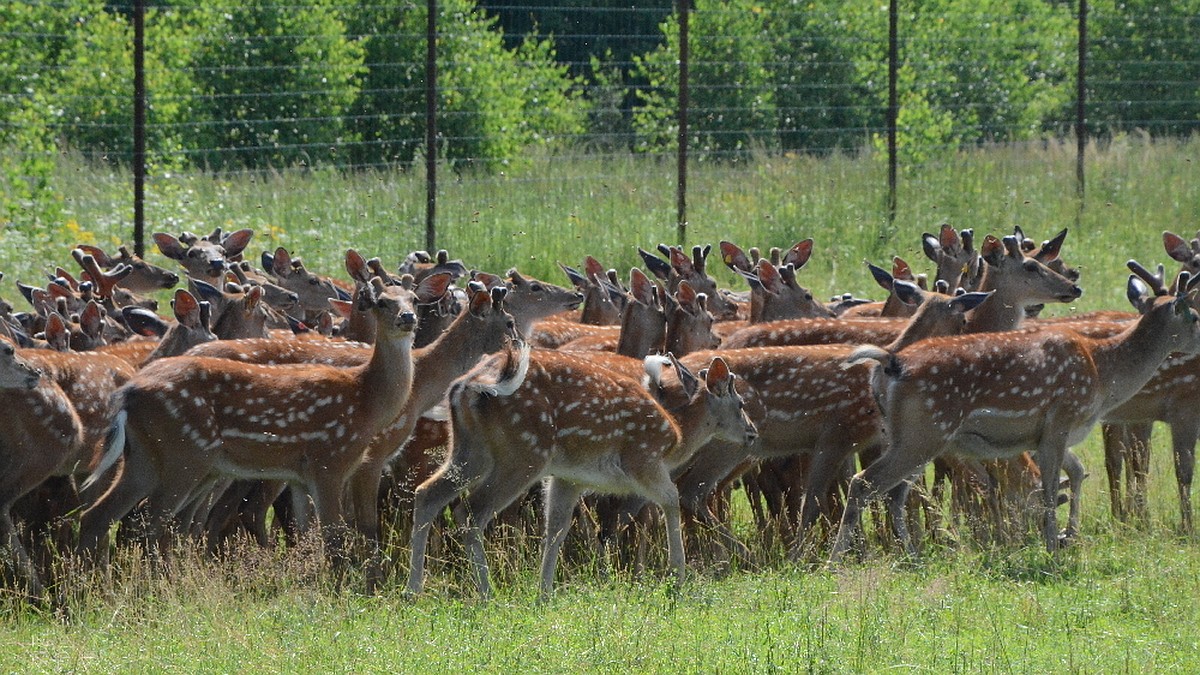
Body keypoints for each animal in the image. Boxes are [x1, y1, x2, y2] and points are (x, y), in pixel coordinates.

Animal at [78, 273, 417, 571]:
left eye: (413, 298)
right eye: (382, 302)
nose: (409, 317)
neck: (366, 401)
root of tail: (127, 393)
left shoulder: (300, 475)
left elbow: (308, 533)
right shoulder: (329, 461)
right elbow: (333, 539)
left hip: (143, 457)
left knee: (98, 517)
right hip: (184, 452)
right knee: (147, 522)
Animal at [408, 341, 753, 598]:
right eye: (740, 404)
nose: (752, 432)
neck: (676, 438)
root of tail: (467, 385)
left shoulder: (567, 477)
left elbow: (556, 527)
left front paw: (544, 593)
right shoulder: (643, 458)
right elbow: (671, 499)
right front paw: (677, 579)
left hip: (470, 450)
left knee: (427, 493)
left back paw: (414, 591)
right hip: (524, 452)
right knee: (471, 511)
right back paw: (486, 592)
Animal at [830, 270, 1200, 559]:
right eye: (1195, 316)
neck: (1101, 373)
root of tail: (891, 362)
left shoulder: (1048, 434)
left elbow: (1076, 472)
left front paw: (1068, 536)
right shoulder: (1062, 418)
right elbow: (1050, 489)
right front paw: (1053, 547)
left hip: (908, 436)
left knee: (894, 491)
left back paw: (908, 554)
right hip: (925, 432)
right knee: (865, 483)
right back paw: (838, 560)